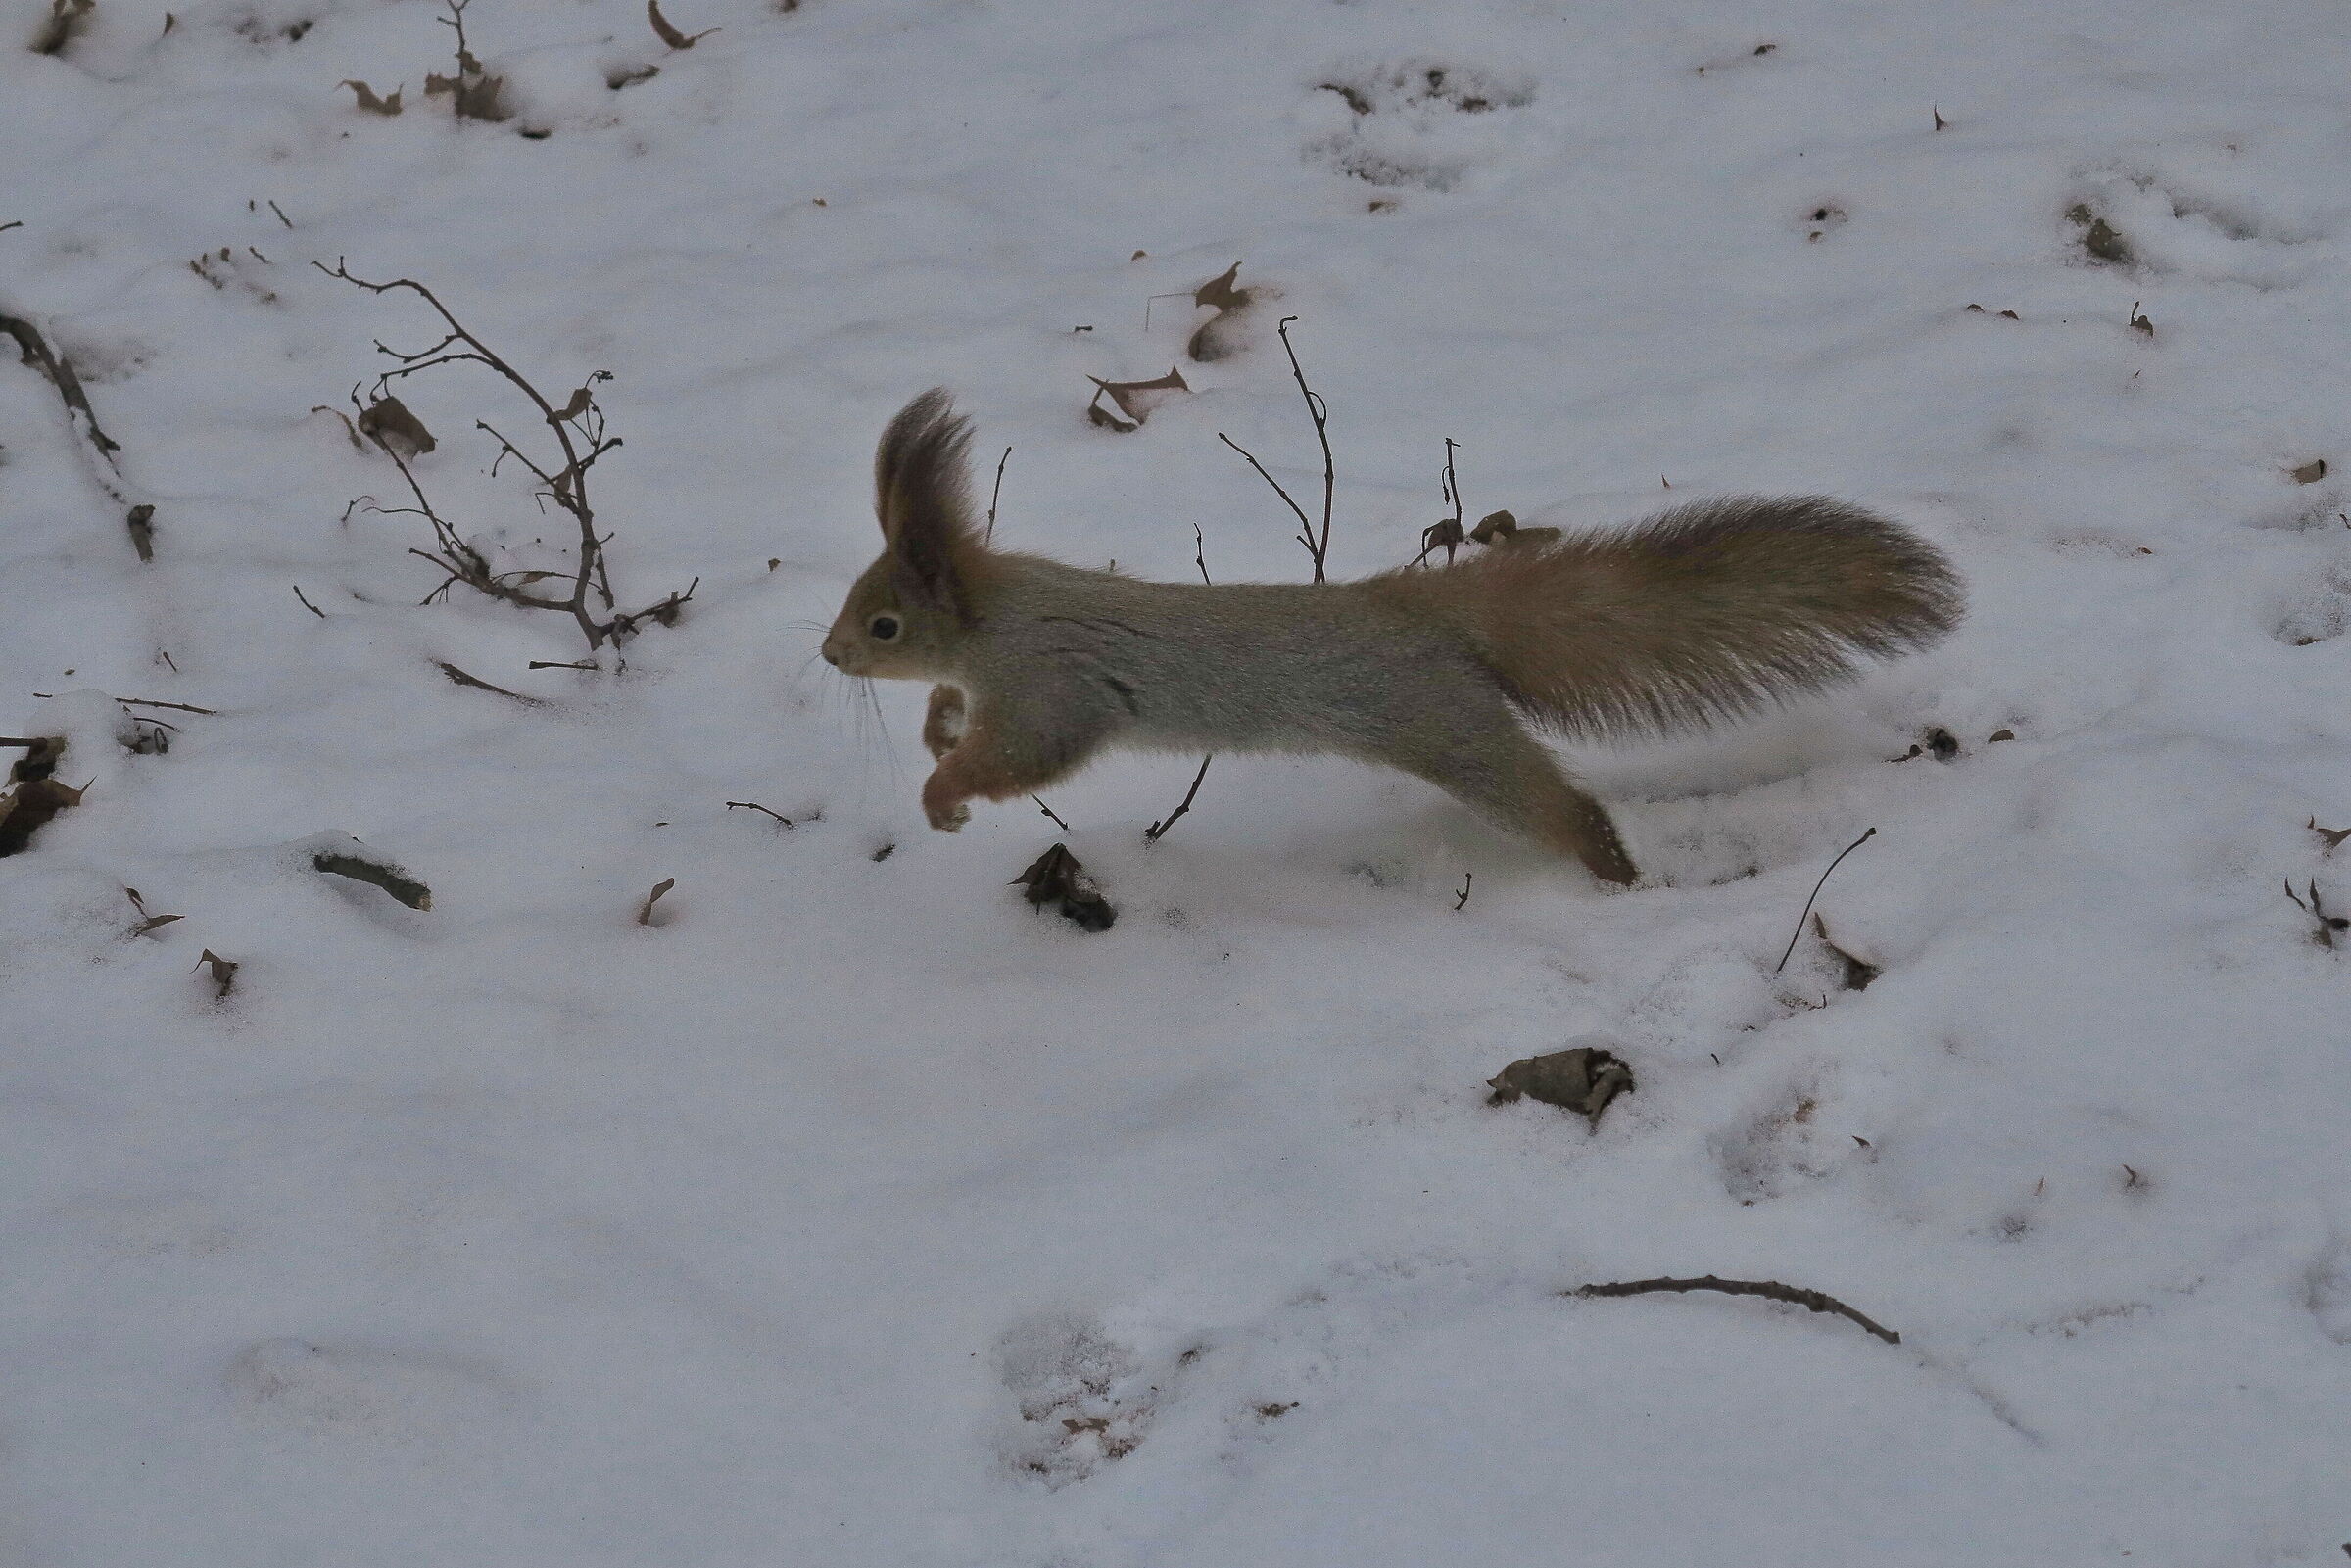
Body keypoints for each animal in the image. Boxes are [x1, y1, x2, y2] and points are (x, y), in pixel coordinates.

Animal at [821, 390, 1963, 885]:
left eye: (884, 621)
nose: (831, 657)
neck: (994, 618)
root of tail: (1410, 609)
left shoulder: (1053, 684)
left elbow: (1027, 754)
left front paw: (943, 793)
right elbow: (960, 715)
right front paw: (936, 727)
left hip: (1447, 728)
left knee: (1555, 804)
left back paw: (1612, 873)